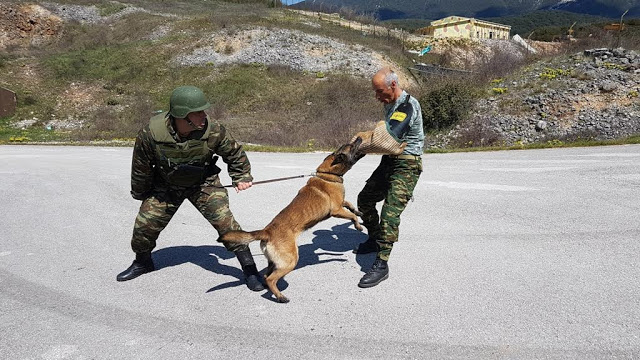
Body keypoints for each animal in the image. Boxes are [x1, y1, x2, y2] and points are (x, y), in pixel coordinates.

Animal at [218, 138, 362, 304]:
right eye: (351, 146)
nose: (359, 138)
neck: (327, 174)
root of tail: (267, 232)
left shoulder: (341, 204)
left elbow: (350, 205)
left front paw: (358, 211)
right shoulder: (336, 210)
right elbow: (351, 216)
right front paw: (358, 226)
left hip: (274, 262)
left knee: (267, 275)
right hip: (290, 261)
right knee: (271, 279)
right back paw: (280, 297)